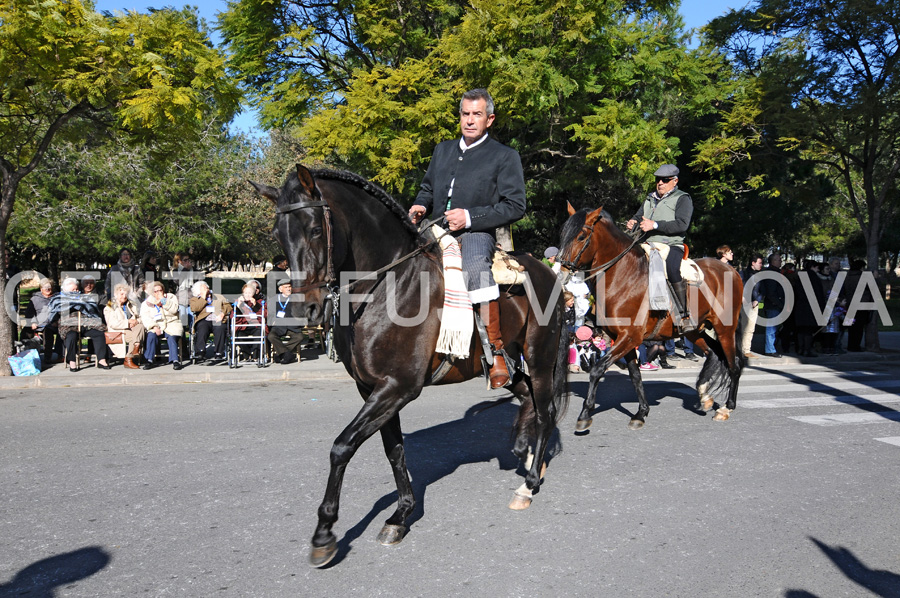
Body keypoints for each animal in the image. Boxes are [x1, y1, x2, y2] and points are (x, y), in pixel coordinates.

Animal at [250, 166, 568, 568]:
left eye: (314, 229)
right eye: (279, 234)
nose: (299, 311)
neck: (388, 288)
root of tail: (548, 273)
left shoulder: (398, 387)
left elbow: (342, 446)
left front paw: (324, 532)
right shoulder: (373, 389)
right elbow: (394, 450)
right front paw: (401, 515)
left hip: (541, 359)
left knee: (546, 411)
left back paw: (528, 485)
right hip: (506, 365)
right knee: (527, 397)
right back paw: (524, 453)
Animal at [564, 206, 744, 432]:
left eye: (581, 236)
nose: (562, 267)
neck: (623, 276)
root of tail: (731, 270)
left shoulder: (630, 337)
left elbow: (597, 369)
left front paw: (585, 414)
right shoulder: (623, 339)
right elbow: (635, 376)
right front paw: (641, 412)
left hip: (725, 329)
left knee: (733, 364)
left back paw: (726, 408)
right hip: (694, 331)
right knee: (713, 354)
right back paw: (704, 395)